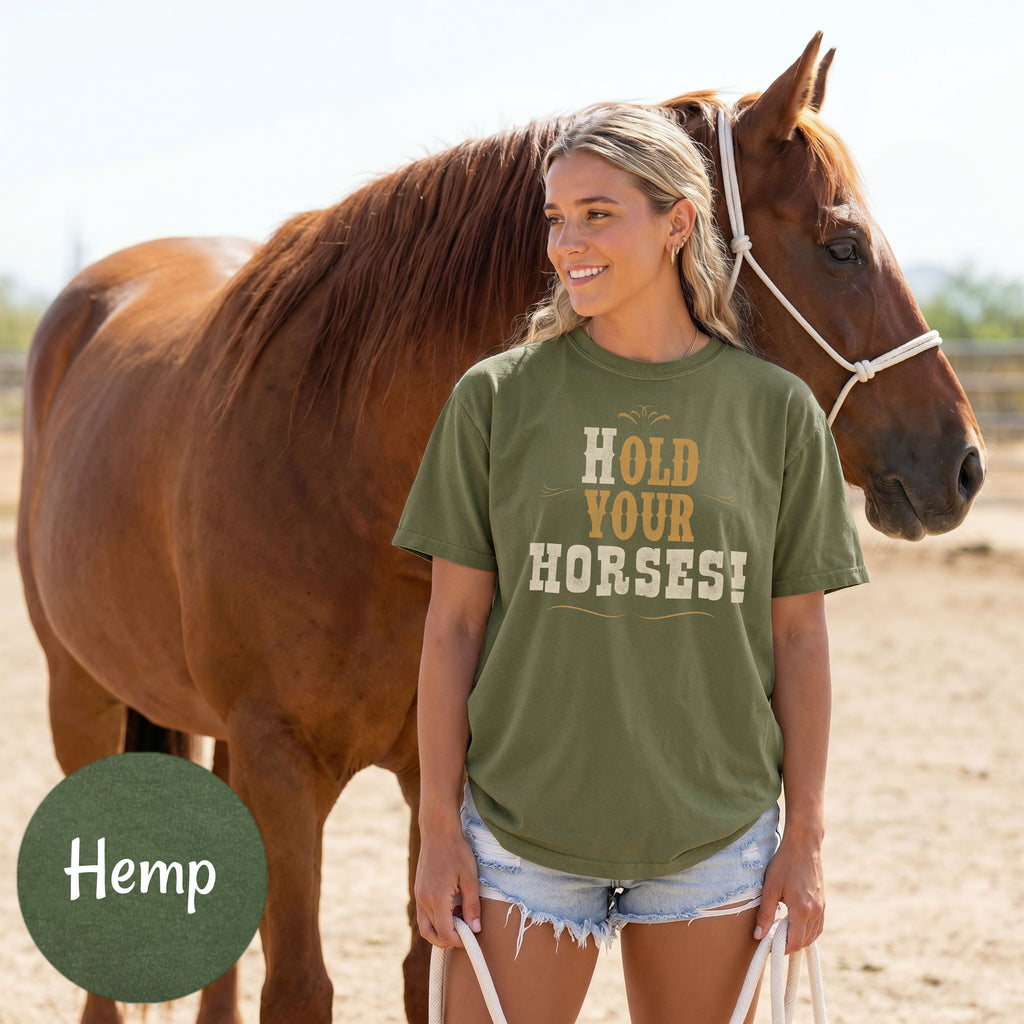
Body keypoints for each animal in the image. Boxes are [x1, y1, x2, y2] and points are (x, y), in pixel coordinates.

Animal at [17, 33, 984, 1024]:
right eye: (843, 246)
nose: (965, 462)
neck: (344, 462)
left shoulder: (432, 779)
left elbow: (424, 973)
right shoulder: (279, 763)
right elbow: (302, 986)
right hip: (82, 698)